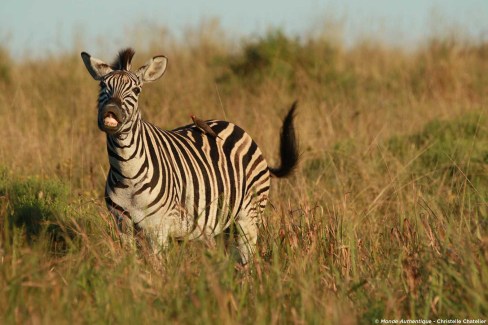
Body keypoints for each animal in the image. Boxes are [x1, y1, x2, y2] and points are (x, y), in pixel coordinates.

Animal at [80, 47, 298, 264]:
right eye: (102, 86)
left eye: (136, 90)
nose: (111, 110)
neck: (127, 170)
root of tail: (236, 127)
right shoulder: (122, 225)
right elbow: (132, 265)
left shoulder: (158, 227)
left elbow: (158, 266)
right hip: (220, 225)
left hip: (249, 215)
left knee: (248, 259)